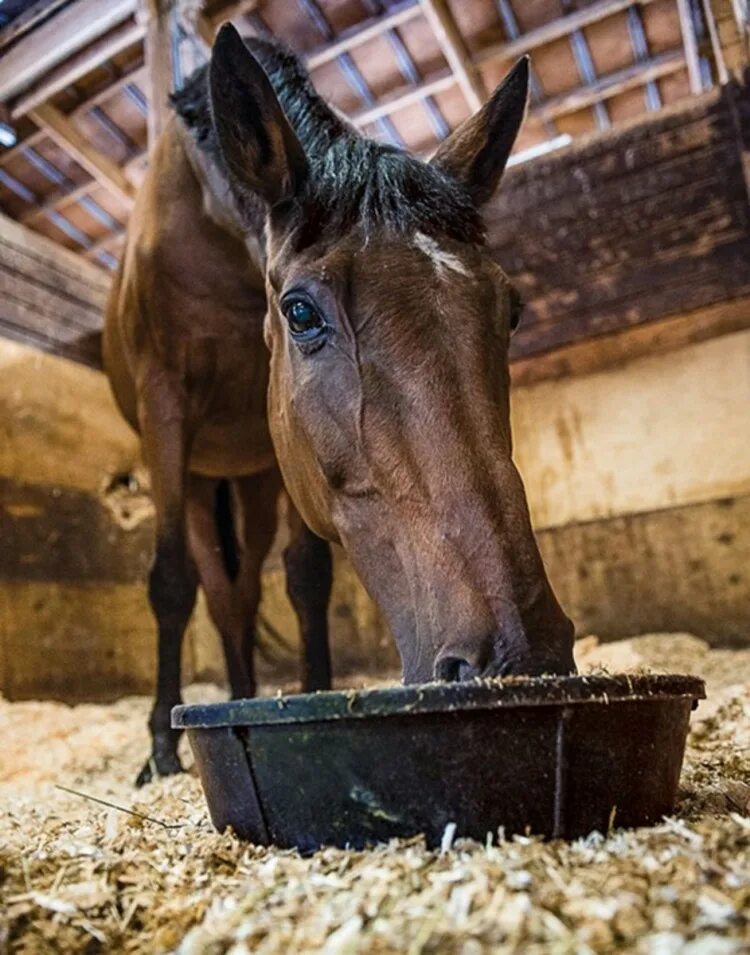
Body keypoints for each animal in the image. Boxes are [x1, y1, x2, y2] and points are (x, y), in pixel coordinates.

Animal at [104, 22, 576, 788]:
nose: (522, 657)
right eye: (300, 312)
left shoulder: (283, 450)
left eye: (511, 311)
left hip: (254, 479)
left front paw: (316, 692)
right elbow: (170, 582)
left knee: (241, 593)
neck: (207, 224)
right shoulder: (163, 407)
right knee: (214, 589)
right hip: (201, 478)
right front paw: (160, 750)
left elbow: (307, 576)